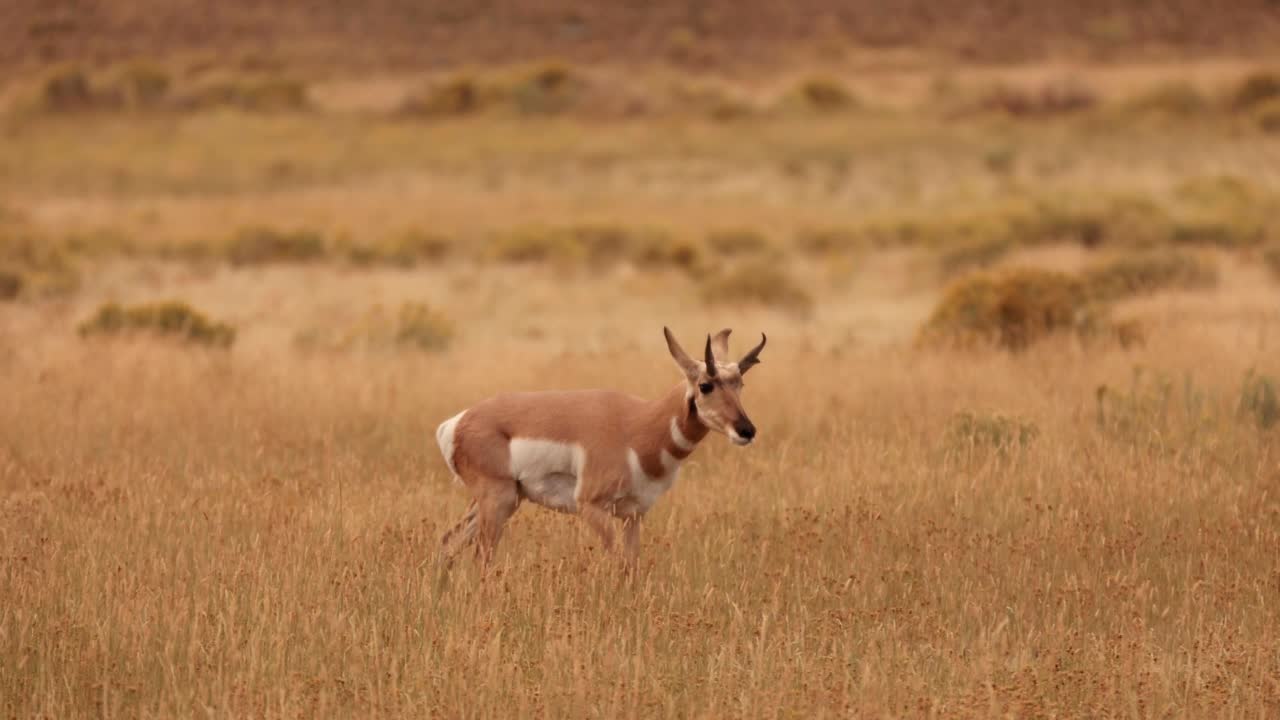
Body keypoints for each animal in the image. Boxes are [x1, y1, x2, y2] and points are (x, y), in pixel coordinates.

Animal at [435, 325, 762, 566]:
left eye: (740, 384)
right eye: (706, 386)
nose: (746, 430)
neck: (639, 426)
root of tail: (458, 422)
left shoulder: (633, 515)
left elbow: (632, 567)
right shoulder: (592, 508)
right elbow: (617, 563)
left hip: (503, 500)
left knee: (448, 542)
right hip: (498, 499)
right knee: (481, 559)